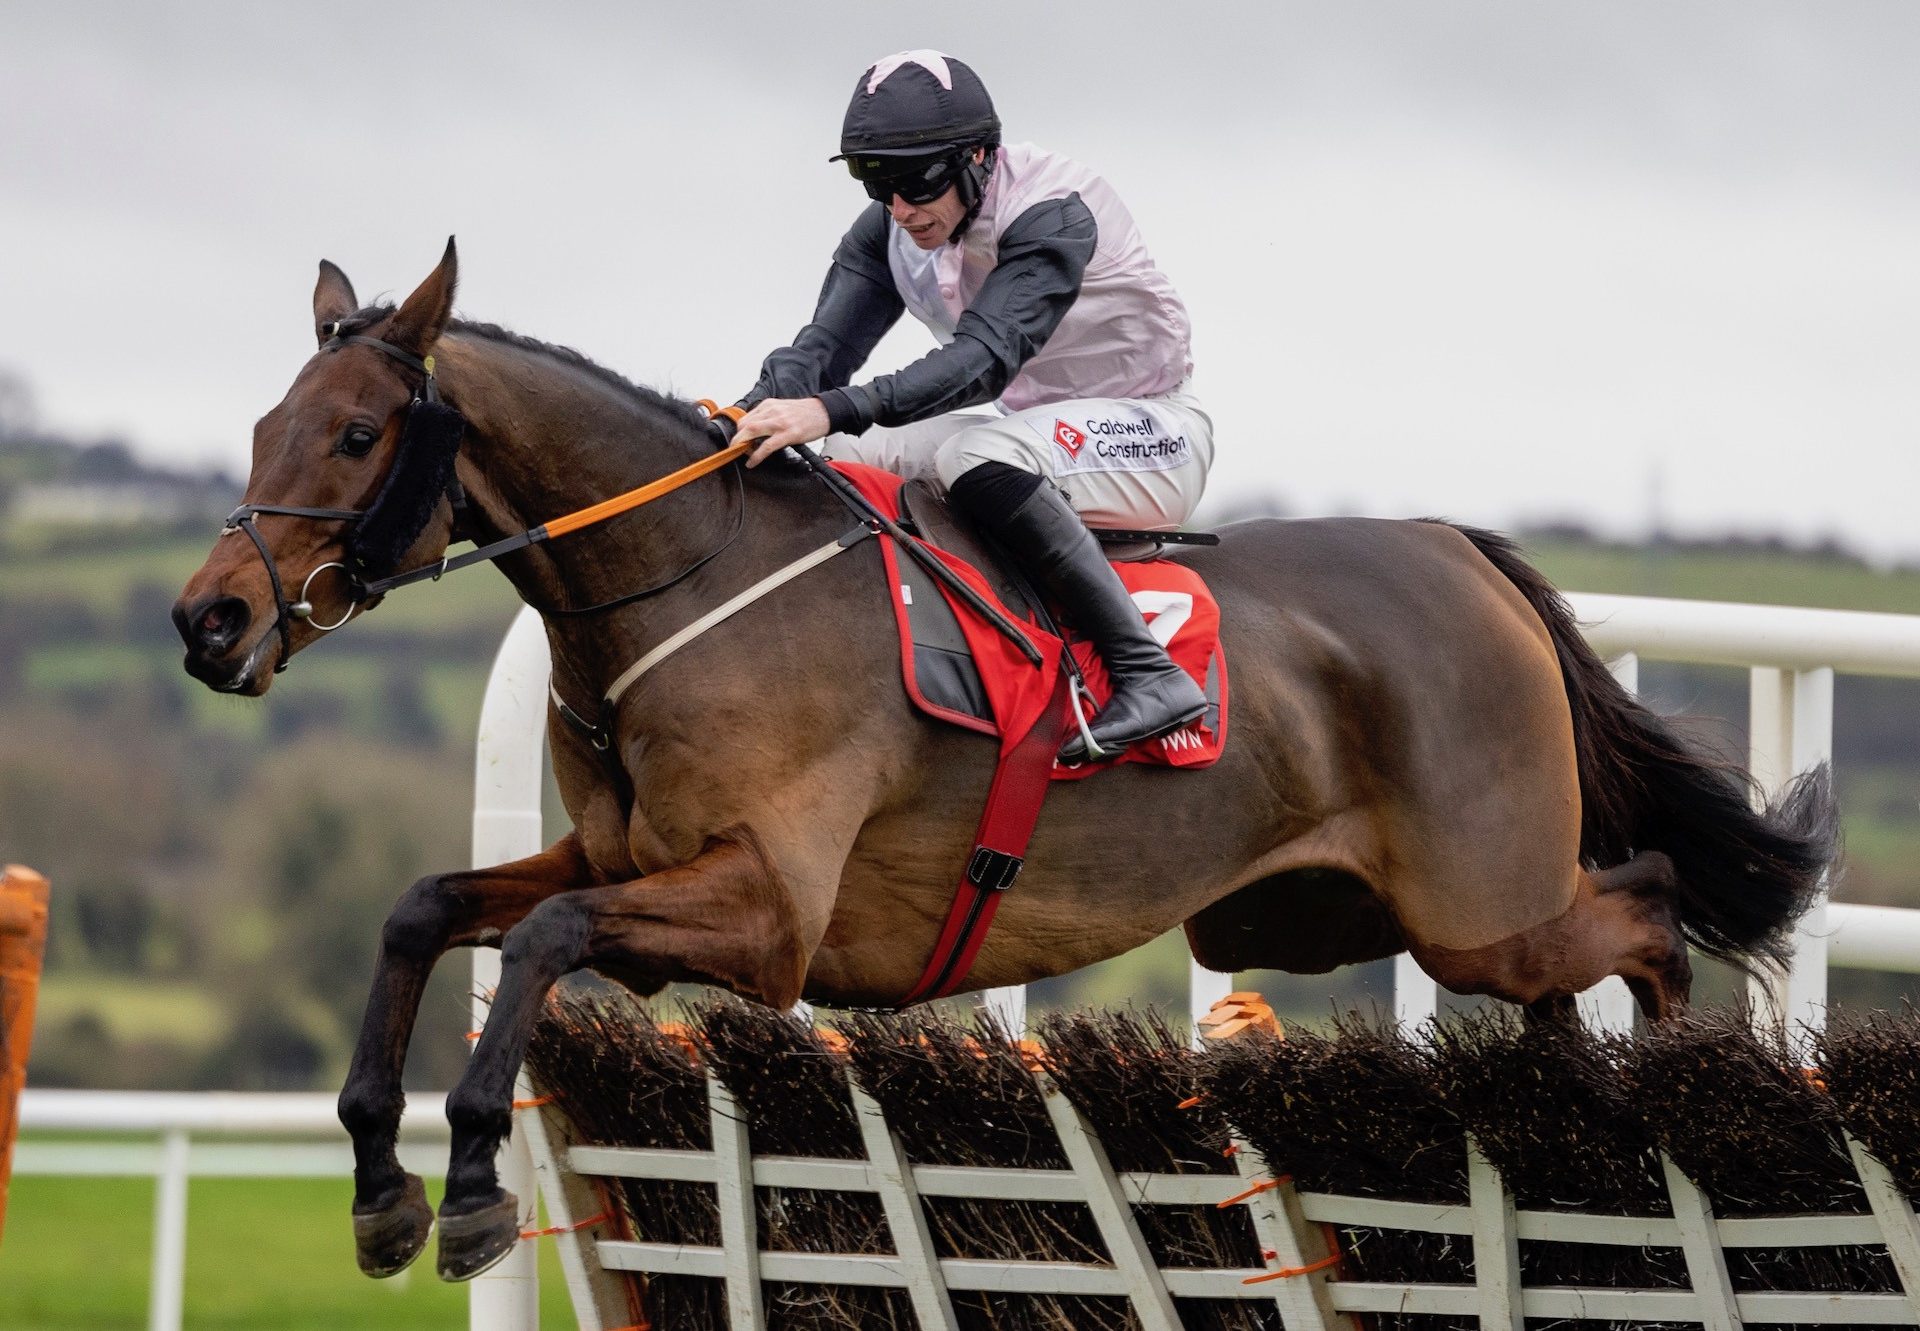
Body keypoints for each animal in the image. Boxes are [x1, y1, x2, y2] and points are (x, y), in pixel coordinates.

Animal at [176, 239, 1827, 1275]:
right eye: (265, 421)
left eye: (356, 434)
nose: (208, 618)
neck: (689, 576)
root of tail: (1461, 550)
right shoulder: (621, 851)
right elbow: (425, 907)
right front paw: (380, 1181)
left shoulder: (765, 913)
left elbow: (544, 941)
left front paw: (461, 1183)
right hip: (1335, 914)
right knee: (1577, 976)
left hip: (1480, 902)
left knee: (1650, 909)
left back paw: (1670, 1104)